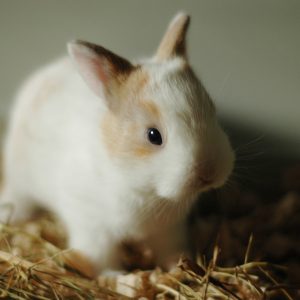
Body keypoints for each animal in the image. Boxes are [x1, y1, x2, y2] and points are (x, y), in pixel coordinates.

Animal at [0, 12, 234, 274]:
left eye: (212, 110)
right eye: (153, 135)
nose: (208, 173)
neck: (144, 188)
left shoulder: (169, 229)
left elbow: (171, 248)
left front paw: (179, 267)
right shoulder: (92, 226)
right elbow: (101, 257)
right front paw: (113, 276)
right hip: (20, 181)